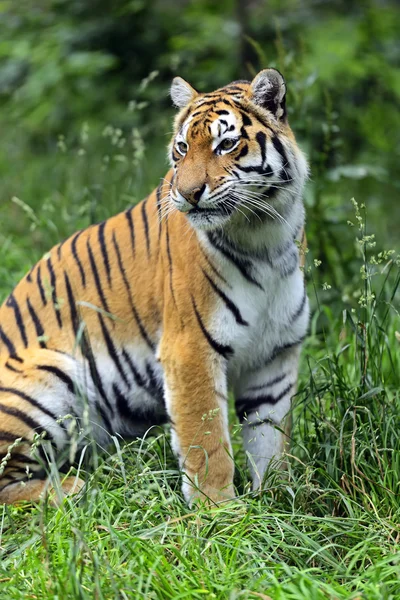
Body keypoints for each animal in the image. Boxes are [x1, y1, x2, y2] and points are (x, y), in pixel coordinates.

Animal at [0, 67, 310, 506]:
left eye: (226, 144)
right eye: (182, 148)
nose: (188, 194)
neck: (264, 236)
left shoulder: (275, 357)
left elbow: (270, 439)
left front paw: (280, 500)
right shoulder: (190, 349)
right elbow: (207, 441)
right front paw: (220, 511)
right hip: (51, 374)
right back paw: (72, 490)